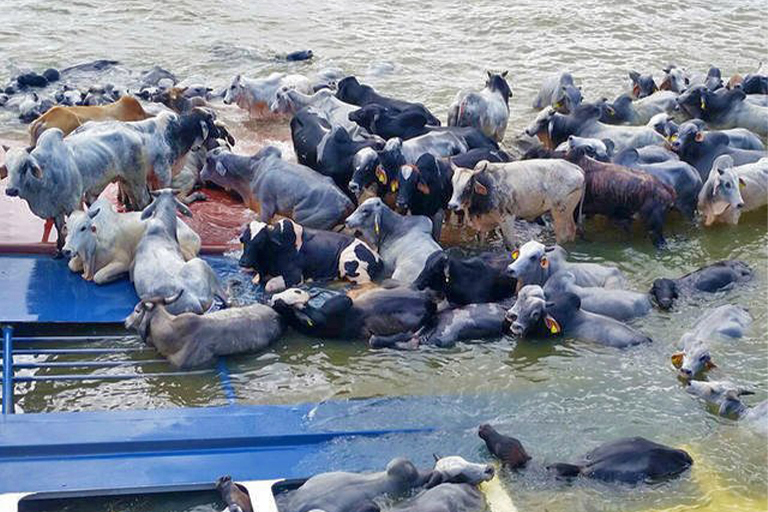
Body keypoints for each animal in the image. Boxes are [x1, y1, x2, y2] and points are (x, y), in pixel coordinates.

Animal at [238, 219, 382, 294]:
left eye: (260, 242)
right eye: (243, 240)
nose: (243, 262)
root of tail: (377, 257)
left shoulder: (295, 277)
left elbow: (269, 285)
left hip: (351, 267)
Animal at [444, 159, 584, 247]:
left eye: (468, 186)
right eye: (452, 183)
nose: (452, 205)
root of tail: (576, 168)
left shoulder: (507, 219)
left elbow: (510, 245)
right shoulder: (482, 225)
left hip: (560, 212)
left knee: (564, 234)